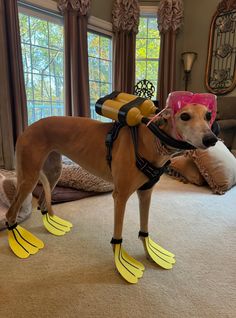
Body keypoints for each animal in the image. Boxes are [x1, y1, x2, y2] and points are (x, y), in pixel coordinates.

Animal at [5, 91, 218, 284]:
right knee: (10, 214)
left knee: (42, 203)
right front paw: (122, 263)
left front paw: (152, 252)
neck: (150, 139)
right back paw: (19, 239)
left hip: (54, 172)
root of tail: (28, 127)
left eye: (208, 115)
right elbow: (118, 235)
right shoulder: (120, 196)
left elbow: (145, 228)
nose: (211, 139)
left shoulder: (146, 193)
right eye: (184, 116)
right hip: (30, 177)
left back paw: (54, 225)